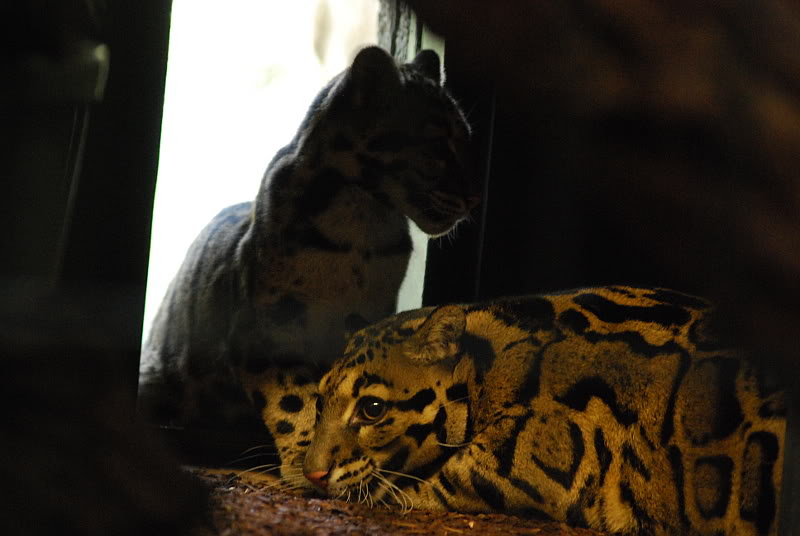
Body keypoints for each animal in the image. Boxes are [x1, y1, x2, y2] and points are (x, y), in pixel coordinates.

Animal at [138, 46, 477, 454]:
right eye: (437, 146)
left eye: (467, 139)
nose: (474, 198)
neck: (365, 228)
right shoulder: (270, 328)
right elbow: (295, 400)